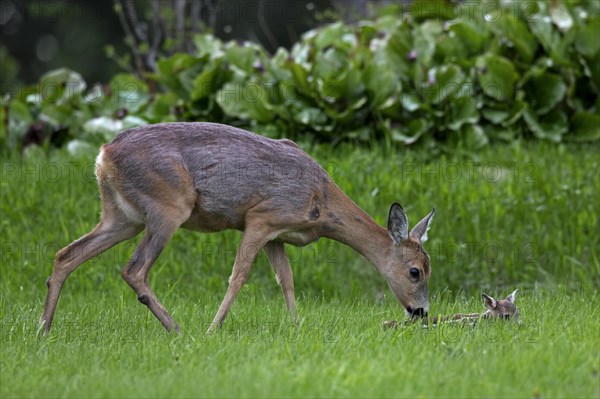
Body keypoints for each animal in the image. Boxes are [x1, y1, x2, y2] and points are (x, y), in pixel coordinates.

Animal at [41, 122, 436, 334]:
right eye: (415, 271)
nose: (421, 312)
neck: (320, 203)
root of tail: (103, 154)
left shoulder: (277, 234)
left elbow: (286, 280)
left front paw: (297, 327)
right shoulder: (261, 216)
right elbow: (239, 275)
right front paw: (214, 328)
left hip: (122, 216)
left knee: (66, 254)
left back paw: (43, 329)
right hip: (167, 206)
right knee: (134, 269)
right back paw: (179, 330)